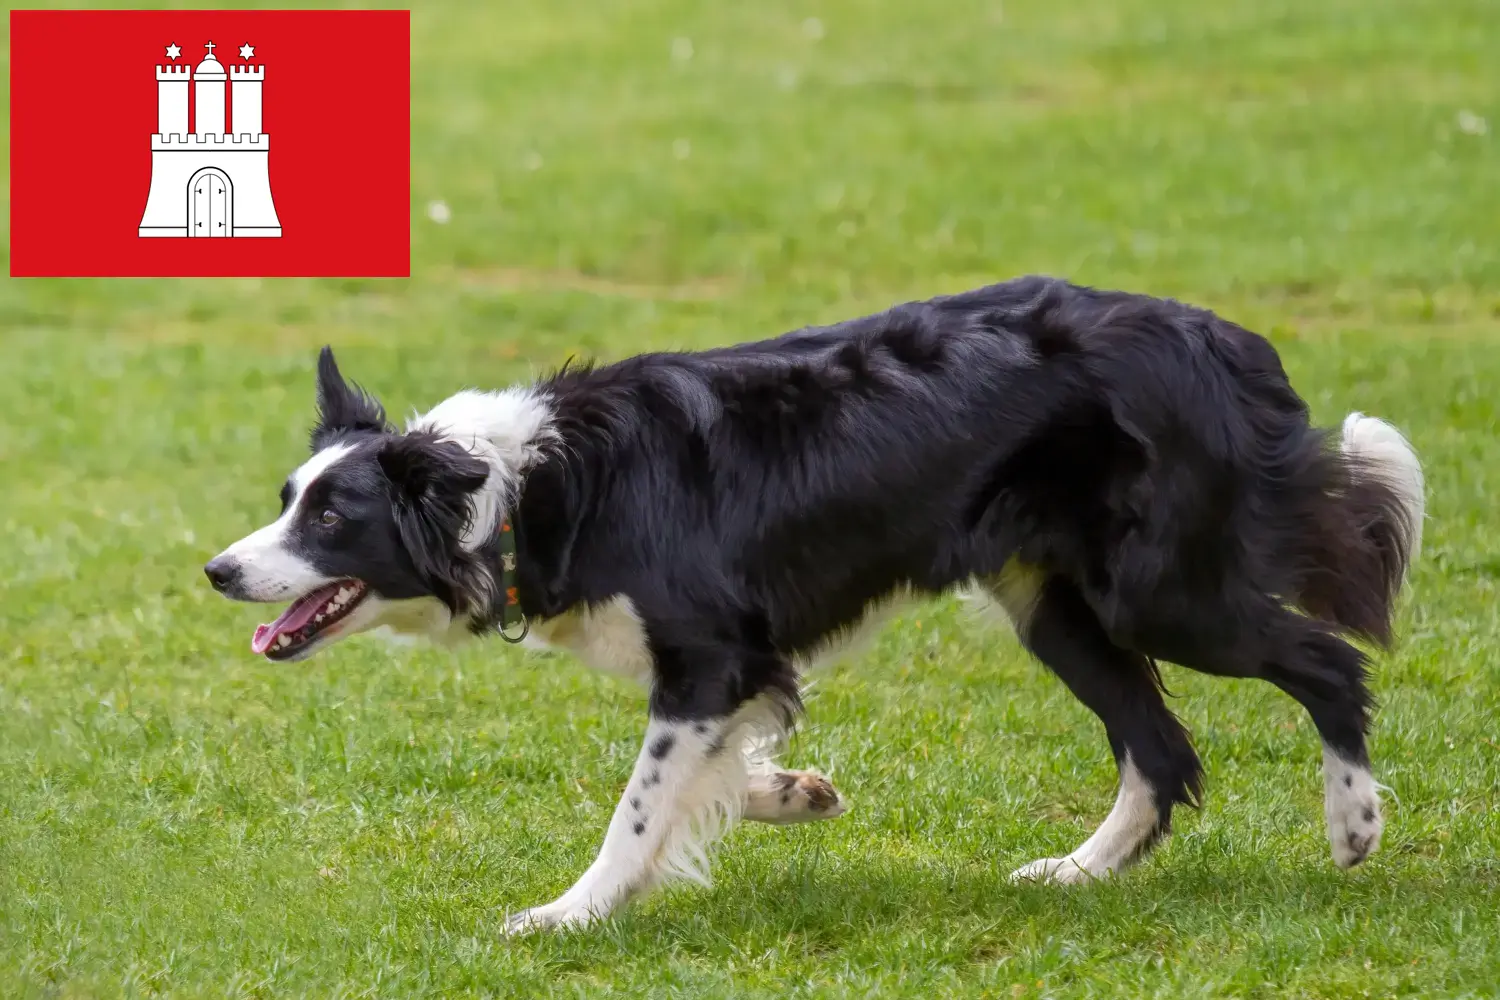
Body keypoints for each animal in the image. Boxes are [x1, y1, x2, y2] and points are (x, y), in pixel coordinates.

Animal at [205, 275, 1422, 929]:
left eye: (331, 517)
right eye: (286, 501)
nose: (217, 570)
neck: (519, 488)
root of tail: (1223, 339)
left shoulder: (706, 656)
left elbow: (635, 806)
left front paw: (568, 914)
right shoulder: (737, 668)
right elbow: (709, 773)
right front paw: (790, 793)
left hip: (1159, 592)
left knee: (1327, 666)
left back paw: (1354, 824)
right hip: (1054, 608)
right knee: (1161, 750)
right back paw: (1077, 872)